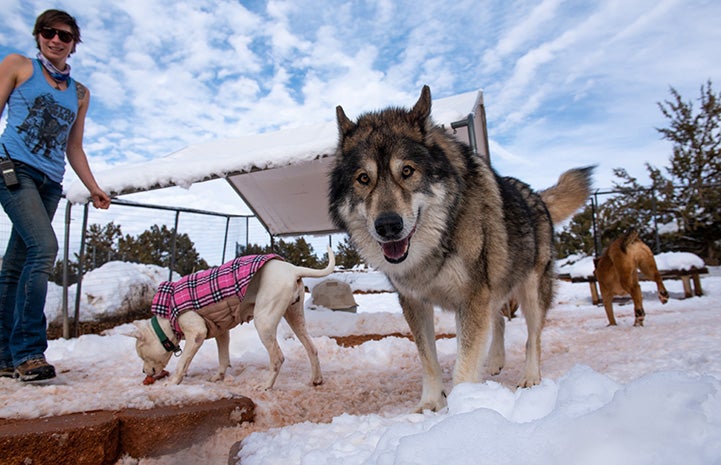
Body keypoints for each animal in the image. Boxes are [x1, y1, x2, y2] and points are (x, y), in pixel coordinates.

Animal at [133, 246, 334, 388]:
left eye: (141, 355)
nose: (143, 371)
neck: (167, 313)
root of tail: (292, 270)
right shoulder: (222, 332)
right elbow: (223, 358)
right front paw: (218, 377)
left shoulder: (197, 334)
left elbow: (182, 363)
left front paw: (174, 382)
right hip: (295, 318)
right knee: (312, 349)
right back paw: (316, 379)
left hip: (264, 322)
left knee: (278, 358)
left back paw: (266, 386)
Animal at [330, 86, 592, 410]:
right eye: (364, 179)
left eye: (407, 171)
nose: (388, 225)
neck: (435, 246)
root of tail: (537, 195)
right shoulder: (415, 303)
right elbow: (428, 359)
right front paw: (431, 404)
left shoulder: (471, 299)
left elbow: (464, 366)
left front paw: (464, 408)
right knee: (499, 320)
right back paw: (494, 362)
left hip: (531, 292)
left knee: (533, 337)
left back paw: (530, 377)